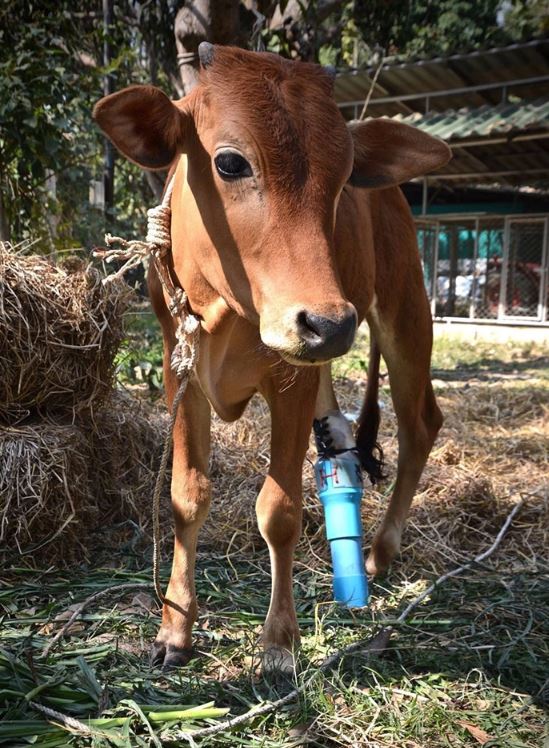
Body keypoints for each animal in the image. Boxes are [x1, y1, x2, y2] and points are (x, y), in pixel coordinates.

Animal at [94, 43, 450, 668]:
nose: (329, 324)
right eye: (231, 163)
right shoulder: (180, 369)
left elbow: (279, 510)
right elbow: (187, 496)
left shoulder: (291, 380)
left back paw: (381, 551)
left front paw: (279, 640)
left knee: (419, 423)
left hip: (404, 310)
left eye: (344, 178)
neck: (229, 311)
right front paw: (174, 629)